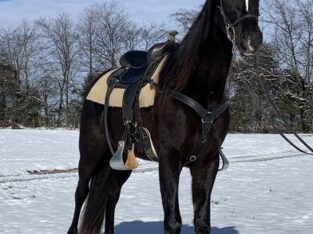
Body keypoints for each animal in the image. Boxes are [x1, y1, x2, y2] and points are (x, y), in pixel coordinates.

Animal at [67, 0, 260, 234]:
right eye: (229, 2)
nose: (252, 40)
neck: (197, 90)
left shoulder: (207, 163)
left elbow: (202, 221)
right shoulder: (169, 159)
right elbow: (172, 221)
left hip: (121, 160)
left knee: (111, 196)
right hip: (90, 153)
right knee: (80, 193)